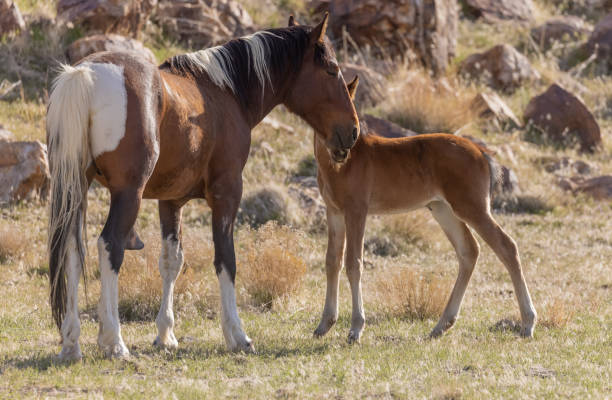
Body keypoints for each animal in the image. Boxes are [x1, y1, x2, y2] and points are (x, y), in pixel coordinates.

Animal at [49, 14, 364, 360]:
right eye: (331, 69)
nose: (353, 131)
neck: (225, 92)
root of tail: (85, 74)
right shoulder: (227, 193)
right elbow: (226, 259)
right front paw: (237, 334)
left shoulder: (170, 201)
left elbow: (171, 261)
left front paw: (165, 334)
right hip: (127, 194)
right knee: (109, 247)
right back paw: (114, 340)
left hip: (77, 190)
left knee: (71, 251)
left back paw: (71, 342)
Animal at [314, 79, 536, 344]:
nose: (344, 143)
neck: (340, 166)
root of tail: (481, 152)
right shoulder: (334, 212)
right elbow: (332, 261)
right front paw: (324, 325)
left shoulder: (357, 211)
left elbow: (353, 262)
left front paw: (356, 329)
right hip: (443, 210)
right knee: (469, 251)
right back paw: (441, 325)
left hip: (472, 207)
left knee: (506, 246)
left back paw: (528, 323)